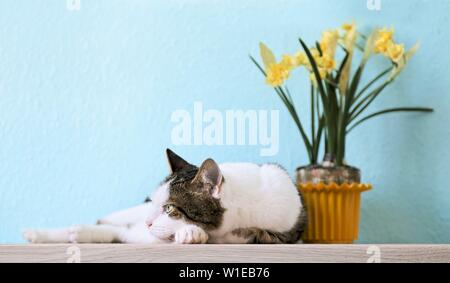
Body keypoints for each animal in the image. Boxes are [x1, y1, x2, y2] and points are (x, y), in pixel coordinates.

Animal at [23, 150, 306, 245]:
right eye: (153, 201)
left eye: (169, 208)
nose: (149, 221)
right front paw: (191, 233)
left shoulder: (282, 230)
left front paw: (193, 233)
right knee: (115, 226)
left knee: (118, 232)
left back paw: (77, 232)